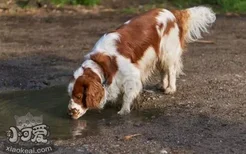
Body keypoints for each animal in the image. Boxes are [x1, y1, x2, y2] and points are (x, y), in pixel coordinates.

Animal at [67, 6, 215, 119]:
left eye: (79, 96)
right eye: (71, 95)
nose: (70, 112)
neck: (104, 63)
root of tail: (172, 12)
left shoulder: (131, 75)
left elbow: (127, 95)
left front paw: (123, 110)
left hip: (167, 52)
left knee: (171, 70)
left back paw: (170, 88)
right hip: (158, 55)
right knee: (163, 70)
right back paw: (162, 85)